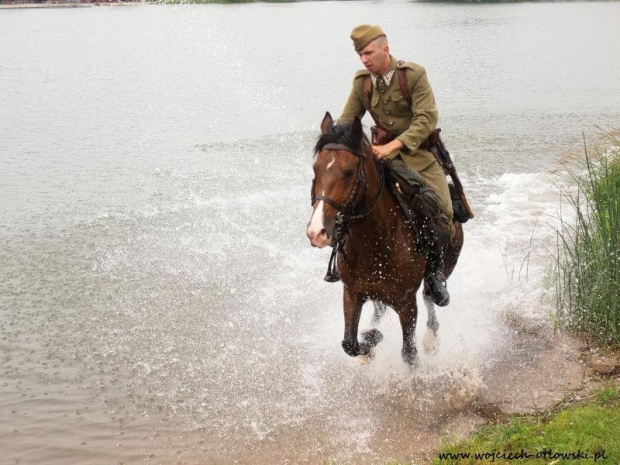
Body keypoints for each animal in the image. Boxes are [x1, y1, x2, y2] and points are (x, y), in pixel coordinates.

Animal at [308, 110, 462, 364]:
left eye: (349, 172)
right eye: (315, 169)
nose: (316, 231)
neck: (375, 241)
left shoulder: (406, 302)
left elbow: (409, 353)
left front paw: (374, 339)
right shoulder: (352, 293)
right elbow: (350, 344)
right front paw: (370, 340)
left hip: (443, 269)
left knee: (430, 295)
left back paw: (431, 337)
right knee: (380, 309)